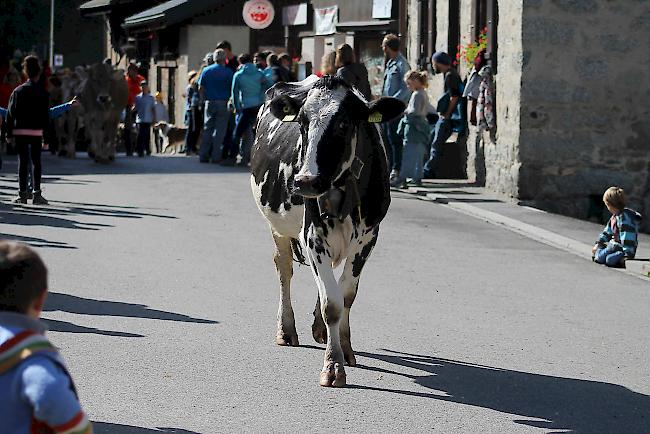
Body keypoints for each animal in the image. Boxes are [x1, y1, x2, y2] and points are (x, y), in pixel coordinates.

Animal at [251, 75, 402, 386]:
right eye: (302, 121)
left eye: (344, 124)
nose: (306, 181)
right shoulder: (313, 236)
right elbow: (331, 303)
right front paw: (333, 365)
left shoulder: (368, 239)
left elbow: (346, 296)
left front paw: (344, 347)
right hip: (278, 227)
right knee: (284, 268)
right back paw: (286, 330)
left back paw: (319, 330)